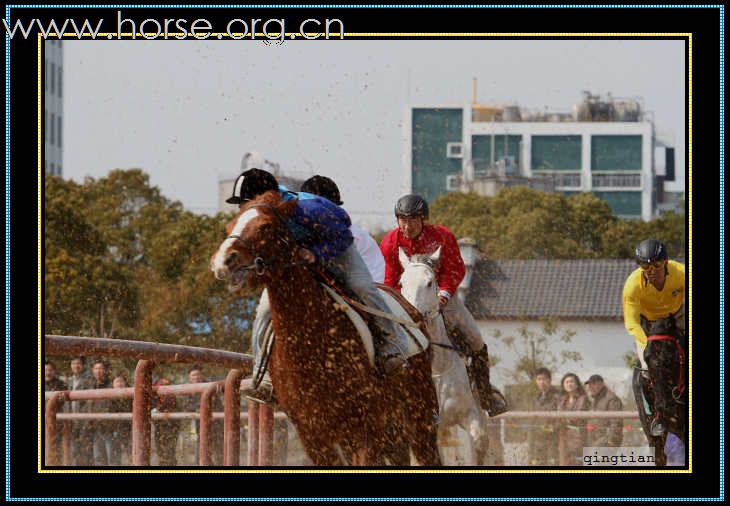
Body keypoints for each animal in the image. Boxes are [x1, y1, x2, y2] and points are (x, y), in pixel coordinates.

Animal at [208, 191, 440, 466]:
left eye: (266, 226)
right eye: (230, 226)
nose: (224, 261)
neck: (314, 342)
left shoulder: (365, 429)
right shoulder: (314, 435)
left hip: (420, 418)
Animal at [398, 247, 490, 464]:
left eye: (429, 282)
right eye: (401, 283)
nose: (412, 315)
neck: (436, 367)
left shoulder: (469, 413)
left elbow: (478, 441)